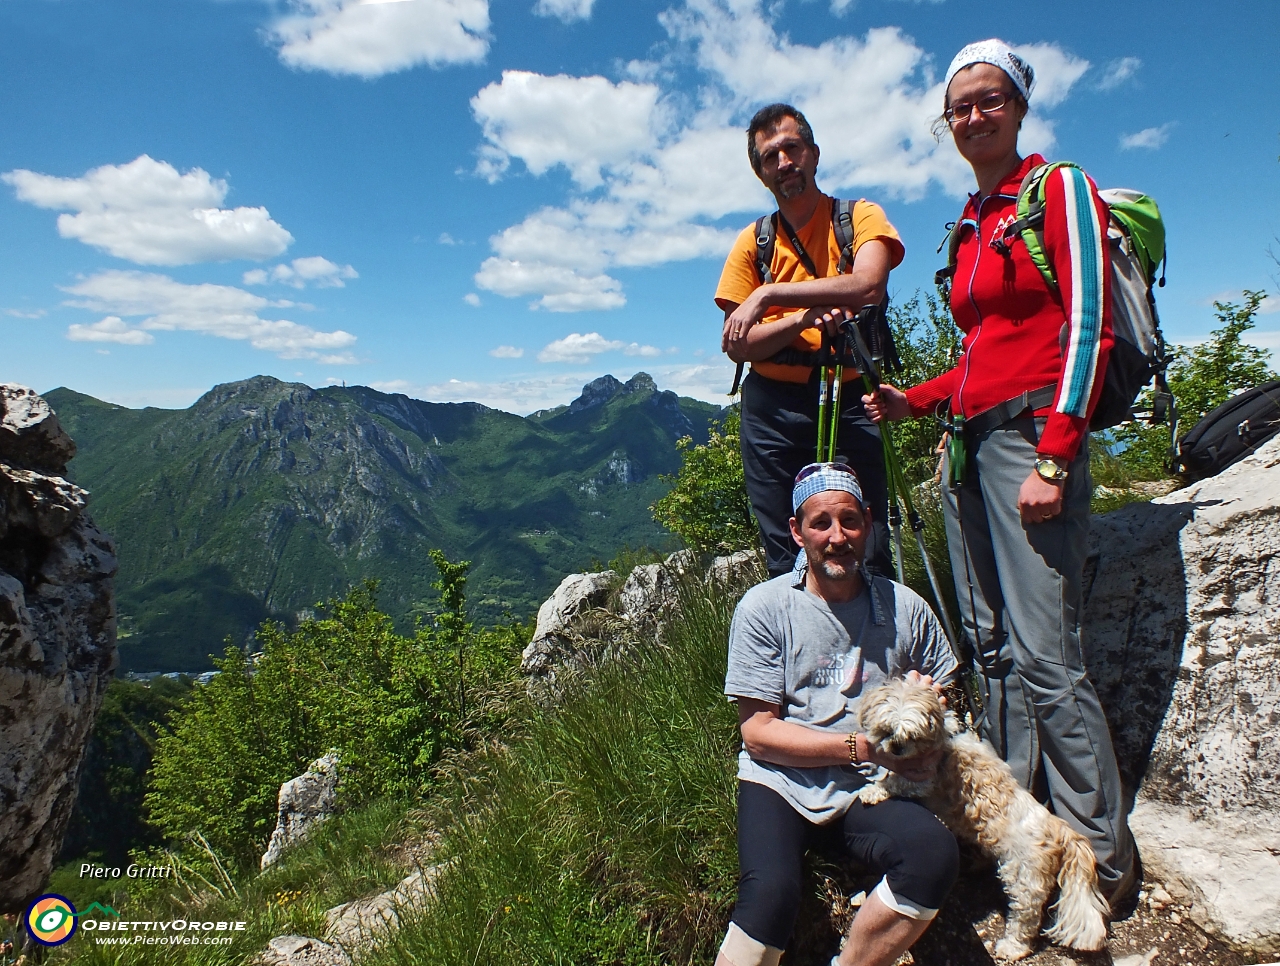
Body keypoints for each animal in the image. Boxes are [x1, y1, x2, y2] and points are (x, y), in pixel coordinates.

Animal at [860, 680, 1111, 962]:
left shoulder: (923, 778)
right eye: (886, 730)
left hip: (1024, 878)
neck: (943, 741)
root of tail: (1059, 828)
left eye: (911, 736)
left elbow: (896, 781)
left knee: (1026, 917)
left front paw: (873, 790)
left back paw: (1013, 947)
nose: (896, 747)